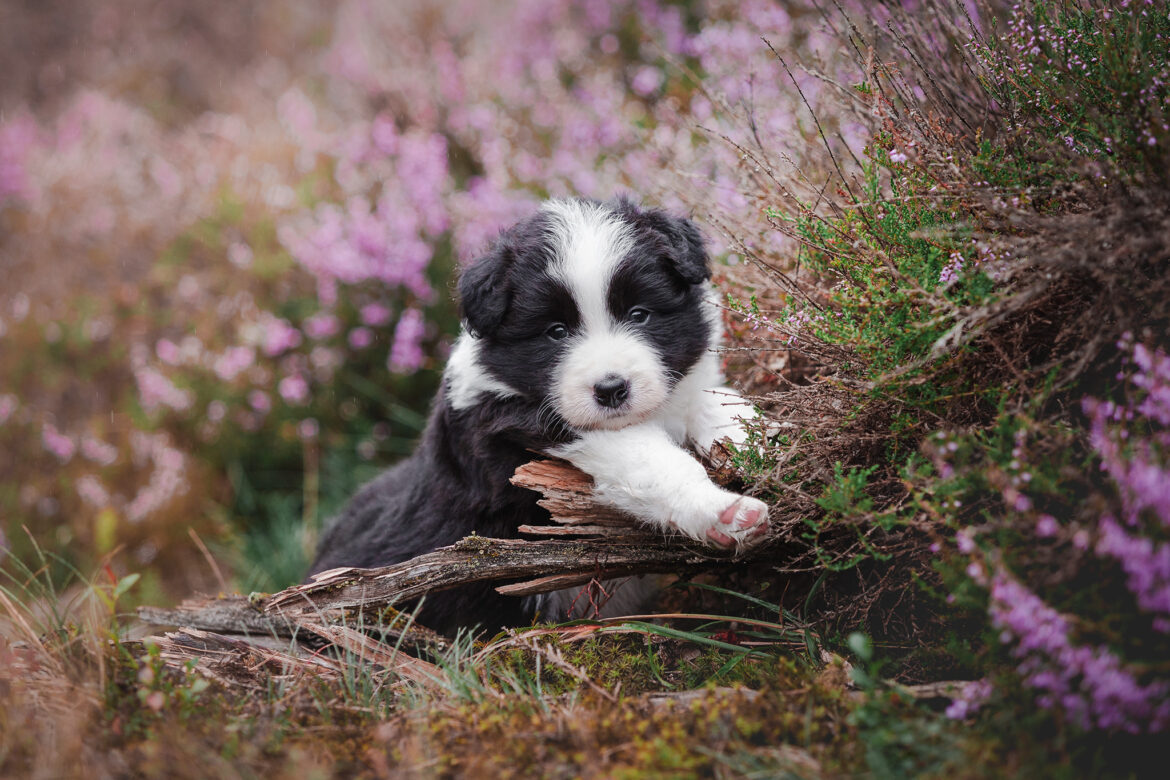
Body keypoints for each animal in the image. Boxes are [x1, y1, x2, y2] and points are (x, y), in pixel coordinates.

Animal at [306, 196, 772, 636]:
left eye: (639, 314)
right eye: (555, 332)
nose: (611, 389)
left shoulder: (684, 390)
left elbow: (721, 405)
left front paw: (764, 446)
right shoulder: (526, 426)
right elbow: (649, 460)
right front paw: (724, 512)